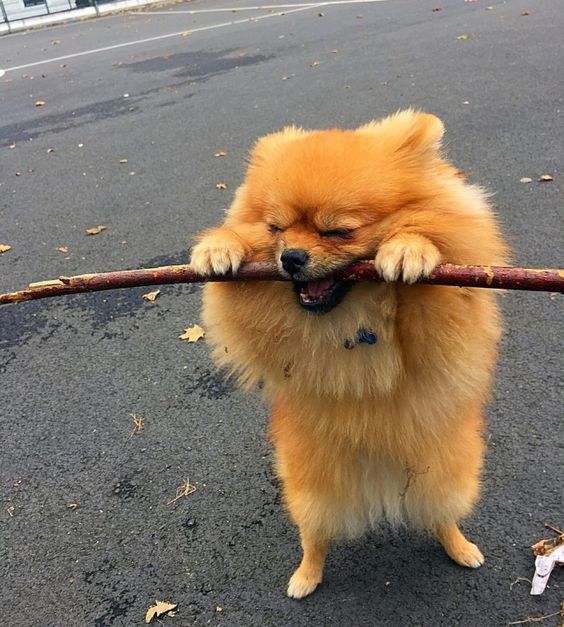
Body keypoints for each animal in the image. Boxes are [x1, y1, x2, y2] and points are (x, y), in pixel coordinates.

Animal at [191, 109, 512, 600]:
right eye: (276, 229)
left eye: (338, 231)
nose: (290, 257)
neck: (351, 312)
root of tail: (380, 485)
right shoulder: (260, 332)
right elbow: (233, 295)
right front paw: (220, 245)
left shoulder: (448, 313)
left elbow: (431, 253)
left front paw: (409, 246)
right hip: (313, 488)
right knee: (315, 537)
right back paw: (306, 576)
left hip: (446, 475)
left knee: (442, 517)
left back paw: (460, 547)